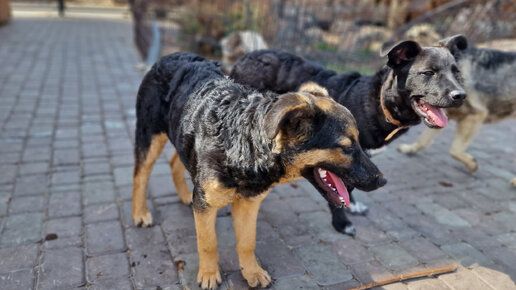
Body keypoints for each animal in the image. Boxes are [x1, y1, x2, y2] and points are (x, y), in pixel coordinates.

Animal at [131, 52, 384, 288]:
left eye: (359, 142)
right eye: (347, 147)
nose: (382, 181)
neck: (246, 144)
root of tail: (169, 56)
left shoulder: (249, 203)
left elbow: (247, 242)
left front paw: (251, 273)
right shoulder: (206, 207)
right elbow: (208, 242)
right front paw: (209, 274)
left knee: (176, 160)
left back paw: (185, 194)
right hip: (149, 135)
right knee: (140, 176)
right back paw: (140, 213)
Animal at [230, 35, 468, 236]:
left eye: (456, 73)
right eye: (428, 73)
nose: (461, 96)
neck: (379, 104)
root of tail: (247, 56)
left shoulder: (357, 159)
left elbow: (349, 185)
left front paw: (352, 205)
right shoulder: (339, 156)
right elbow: (336, 189)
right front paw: (341, 222)